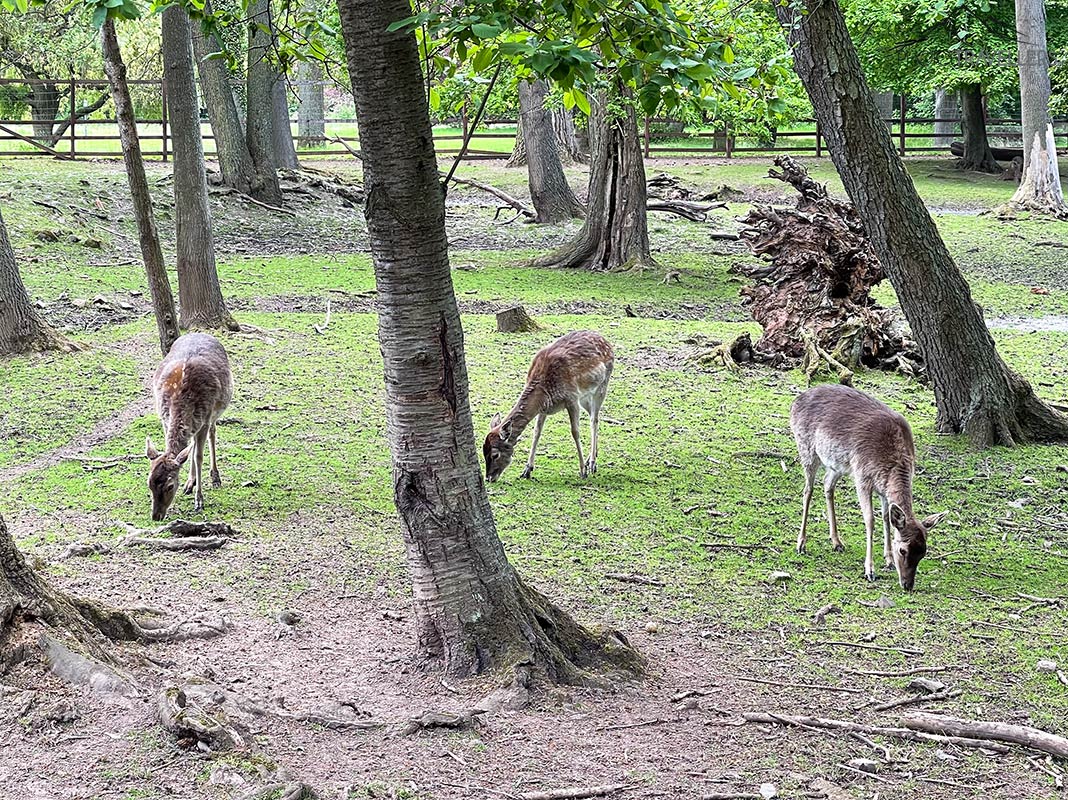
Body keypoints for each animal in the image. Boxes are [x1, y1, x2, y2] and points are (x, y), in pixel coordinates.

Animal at [145, 331, 232, 519]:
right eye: (149, 483)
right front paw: (190, 485)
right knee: (190, 444)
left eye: (170, 486)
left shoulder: (205, 419)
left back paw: (215, 477)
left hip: (215, 412)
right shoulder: (164, 418)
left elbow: (199, 456)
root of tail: (200, 332)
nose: (156, 516)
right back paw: (190, 483)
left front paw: (199, 501)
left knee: (212, 433)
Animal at [482, 328, 610, 480]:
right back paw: (592, 456)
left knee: (594, 419)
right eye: (483, 451)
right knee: (593, 417)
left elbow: (575, 432)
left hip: (602, 385)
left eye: (495, 455)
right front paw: (527, 470)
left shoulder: (572, 398)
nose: (489, 478)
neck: (544, 390)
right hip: (585, 397)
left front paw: (582, 471)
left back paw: (591, 464)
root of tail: (606, 340)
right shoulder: (544, 408)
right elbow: (537, 432)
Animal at [790, 384, 948, 589]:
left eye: (923, 552)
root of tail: (796, 401)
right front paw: (870, 571)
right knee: (807, 490)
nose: (907, 585)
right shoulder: (862, 478)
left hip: (837, 464)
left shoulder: (883, 489)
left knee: (827, 485)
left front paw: (888, 561)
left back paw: (836, 542)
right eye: (903, 550)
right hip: (807, 449)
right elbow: (870, 520)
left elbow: (886, 518)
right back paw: (801, 544)